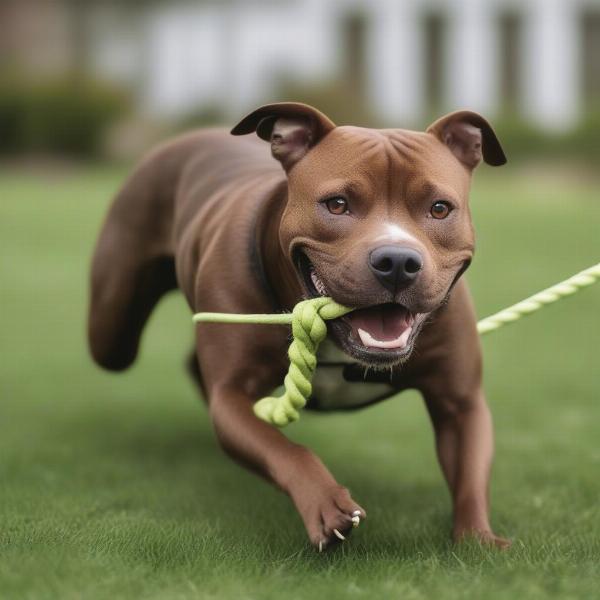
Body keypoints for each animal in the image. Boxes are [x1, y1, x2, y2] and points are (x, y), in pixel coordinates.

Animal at [89, 101, 510, 552]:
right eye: (337, 204)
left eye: (439, 208)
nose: (397, 261)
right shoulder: (232, 398)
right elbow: (286, 450)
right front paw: (325, 504)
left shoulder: (460, 402)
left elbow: (470, 474)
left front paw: (478, 538)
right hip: (112, 335)